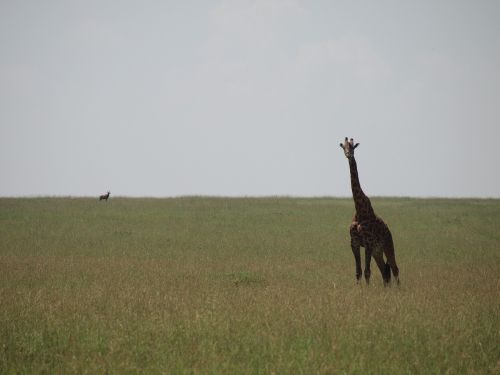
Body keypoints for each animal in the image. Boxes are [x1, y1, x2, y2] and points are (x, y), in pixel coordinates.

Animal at [340, 138, 398, 284]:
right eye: (344, 147)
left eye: (353, 147)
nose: (349, 155)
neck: (360, 210)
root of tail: (389, 231)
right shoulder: (354, 243)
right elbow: (358, 272)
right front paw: (359, 288)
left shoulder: (368, 243)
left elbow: (367, 272)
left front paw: (366, 289)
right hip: (377, 251)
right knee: (384, 271)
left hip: (388, 245)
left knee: (394, 268)